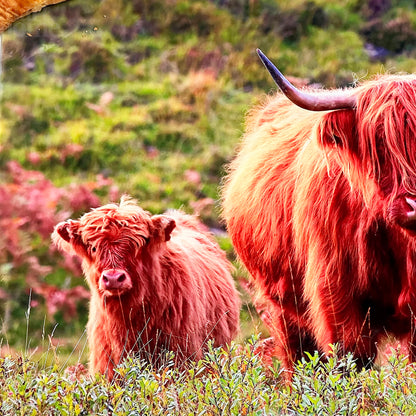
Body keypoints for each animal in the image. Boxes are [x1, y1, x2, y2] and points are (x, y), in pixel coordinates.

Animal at [221, 48, 416, 374]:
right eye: (379, 141)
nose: (413, 205)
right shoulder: (336, 297)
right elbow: (350, 361)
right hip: (282, 305)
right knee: (298, 359)